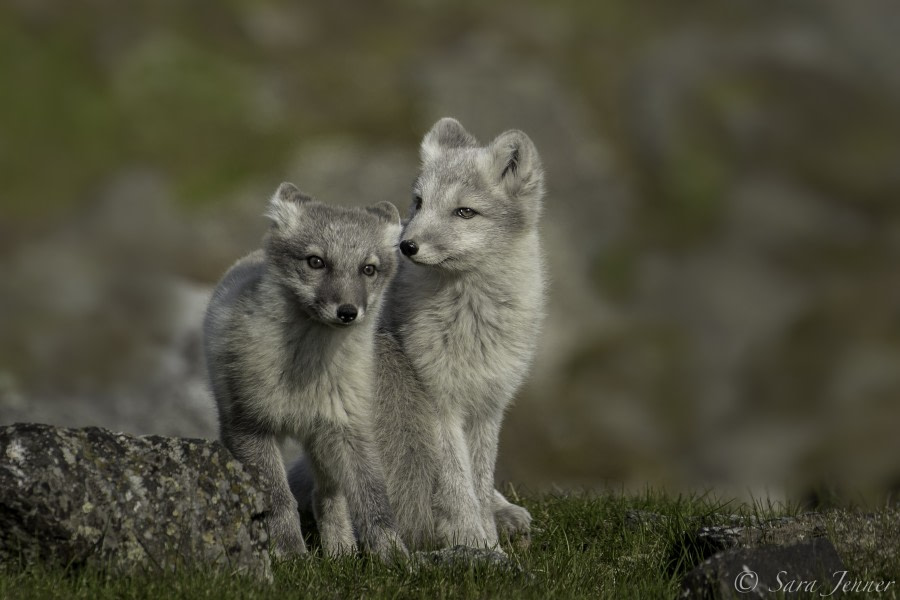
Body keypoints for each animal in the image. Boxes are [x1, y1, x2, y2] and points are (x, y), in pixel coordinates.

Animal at [204, 183, 404, 556]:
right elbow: (279, 502)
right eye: (316, 262)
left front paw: (394, 555)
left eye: (368, 269)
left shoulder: (351, 428)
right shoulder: (250, 427)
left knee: (327, 494)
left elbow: (374, 501)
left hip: (323, 440)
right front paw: (291, 553)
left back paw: (341, 551)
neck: (307, 371)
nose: (348, 311)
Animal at [292, 119, 544, 552]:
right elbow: (459, 489)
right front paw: (477, 546)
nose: (407, 246)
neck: (472, 317)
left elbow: (478, 483)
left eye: (464, 212)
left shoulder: (488, 406)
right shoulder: (439, 401)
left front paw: (489, 539)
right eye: (419, 202)